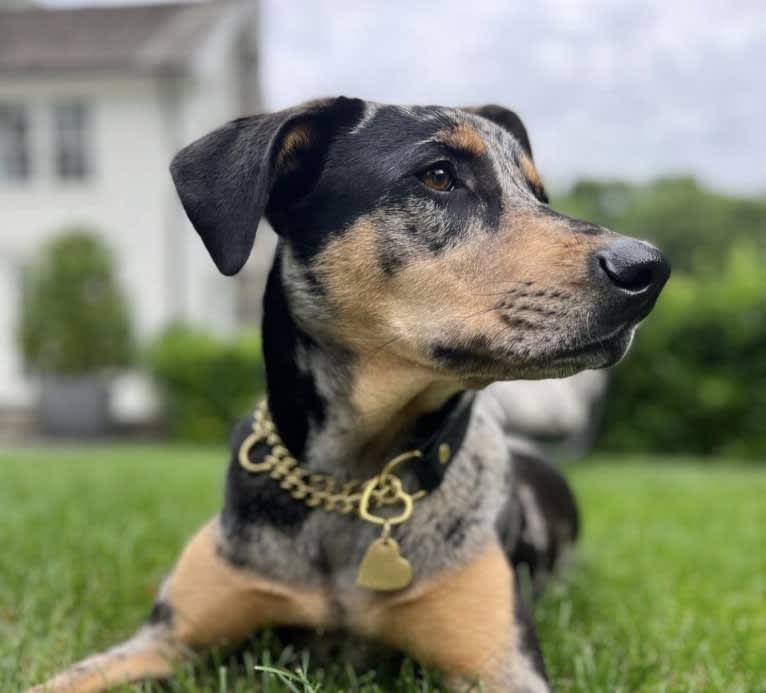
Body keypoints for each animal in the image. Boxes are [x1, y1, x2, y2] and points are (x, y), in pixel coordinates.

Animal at [33, 97, 672, 692]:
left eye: (539, 194)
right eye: (438, 176)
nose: (649, 268)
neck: (351, 483)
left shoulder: (502, 664)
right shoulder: (167, 637)